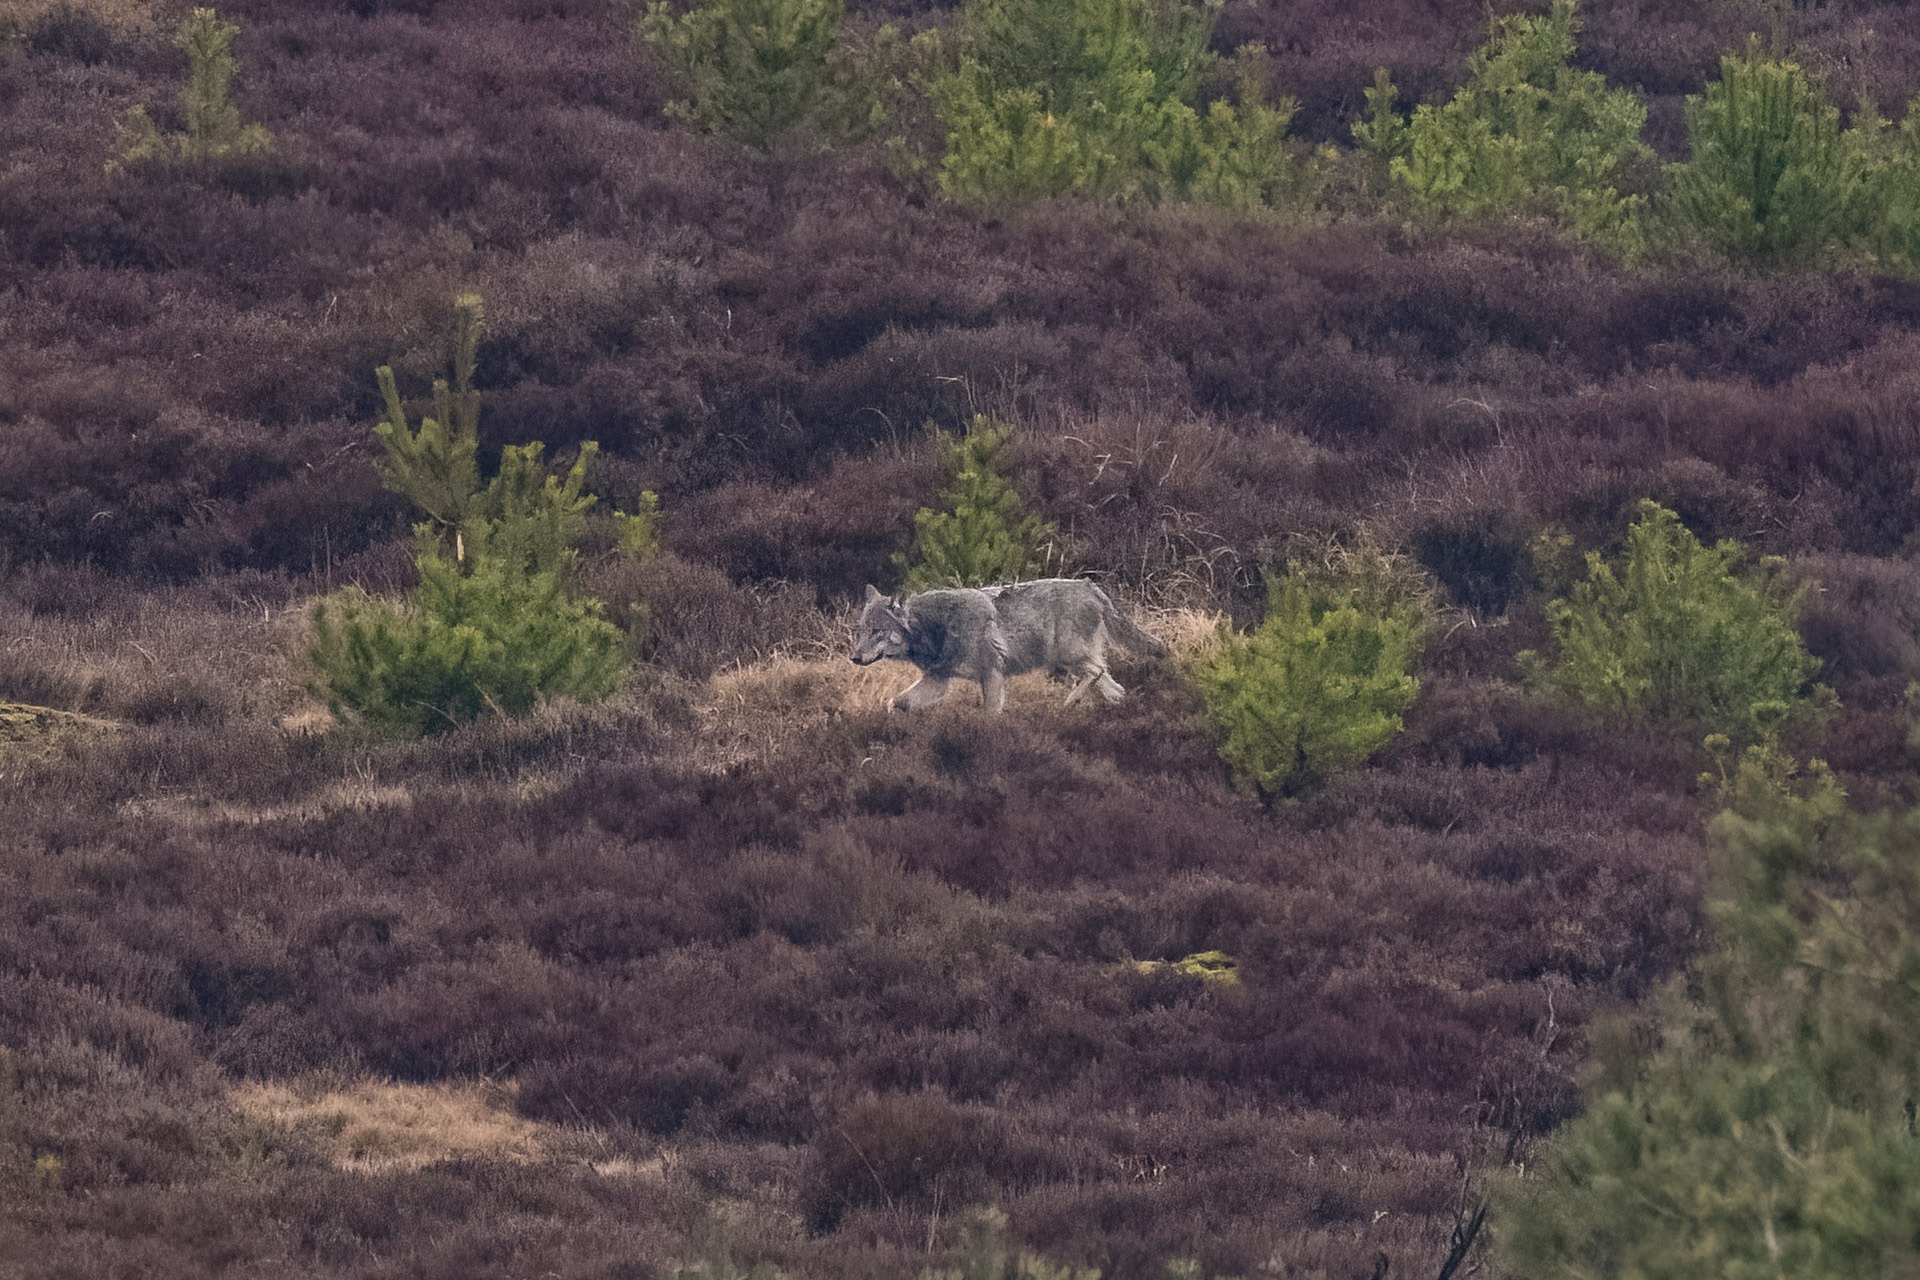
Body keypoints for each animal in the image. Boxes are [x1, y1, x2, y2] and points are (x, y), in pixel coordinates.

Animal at [851, 578, 1168, 713]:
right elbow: (894, 703)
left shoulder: (992, 674)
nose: (854, 658)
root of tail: (1092, 587)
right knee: (1114, 686)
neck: (937, 627)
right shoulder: (938, 681)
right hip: (1068, 661)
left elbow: (990, 715)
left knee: (1097, 672)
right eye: (860, 631)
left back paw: (1068, 704)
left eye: (877, 631)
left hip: (1065, 657)